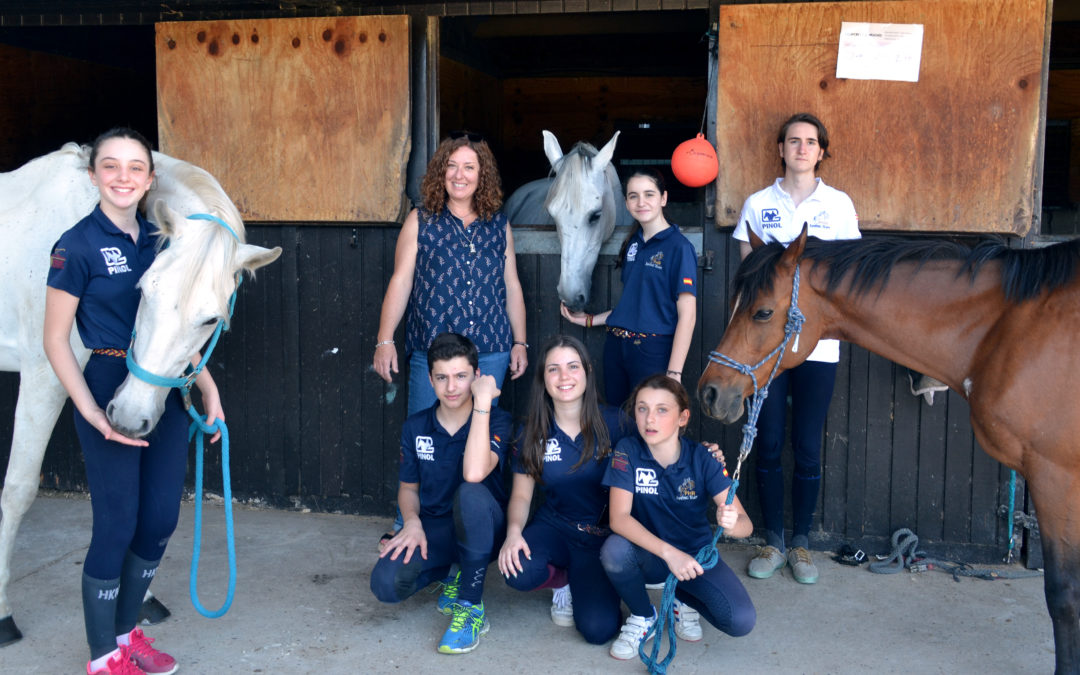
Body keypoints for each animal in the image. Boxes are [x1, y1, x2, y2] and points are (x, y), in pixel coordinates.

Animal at [0, 143, 282, 643]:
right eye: (145, 289)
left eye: (211, 319)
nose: (129, 418)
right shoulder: (42, 376)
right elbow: (18, 489)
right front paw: (2, 611)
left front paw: (143, 600)